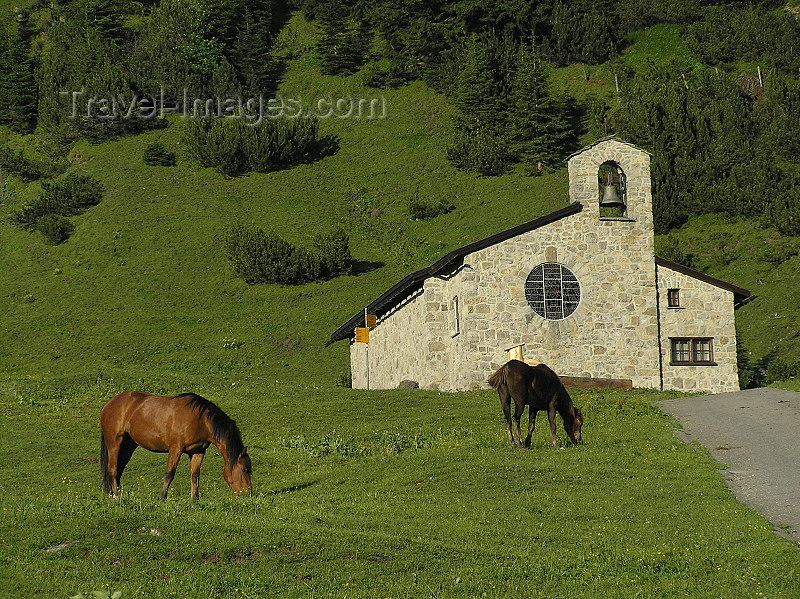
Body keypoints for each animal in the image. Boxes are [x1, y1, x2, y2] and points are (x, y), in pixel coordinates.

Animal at [100, 392, 252, 500]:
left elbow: (195, 474)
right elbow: (170, 474)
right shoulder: (176, 449)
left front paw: (194, 499)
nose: (248, 493)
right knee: (112, 468)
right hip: (114, 443)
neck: (201, 420)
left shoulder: (198, 451)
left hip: (128, 446)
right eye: (244, 469)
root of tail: (109, 404)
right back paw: (116, 496)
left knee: (119, 468)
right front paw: (162, 497)